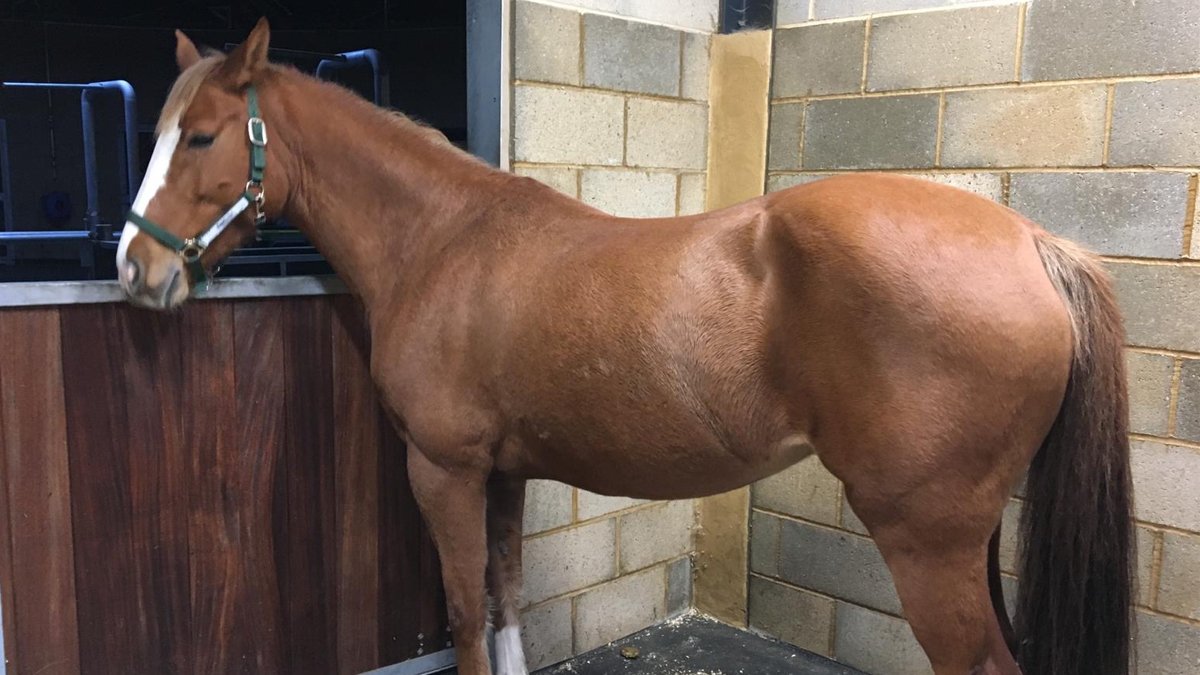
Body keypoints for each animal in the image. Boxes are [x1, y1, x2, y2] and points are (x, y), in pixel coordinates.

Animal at [114, 19, 1132, 672]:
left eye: (200, 136)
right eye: (156, 132)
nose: (132, 269)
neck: (443, 240)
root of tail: (1034, 244)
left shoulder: (443, 469)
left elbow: (466, 615)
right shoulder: (505, 473)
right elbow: (505, 604)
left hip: (925, 540)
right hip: (970, 537)